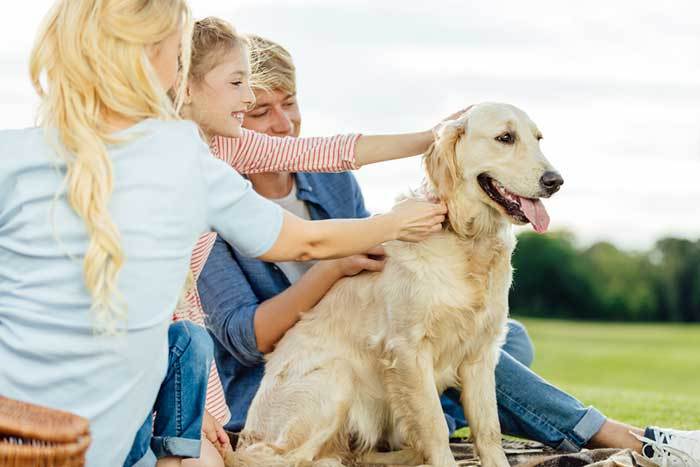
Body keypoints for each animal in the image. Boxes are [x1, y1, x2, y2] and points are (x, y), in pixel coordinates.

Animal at [230, 104, 564, 467]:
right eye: (505, 137)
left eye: (538, 138)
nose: (556, 181)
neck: (465, 236)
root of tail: (244, 436)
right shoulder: (408, 348)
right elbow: (434, 425)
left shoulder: (481, 351)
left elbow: (488, 430)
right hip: (335, 375)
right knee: (286, 457)